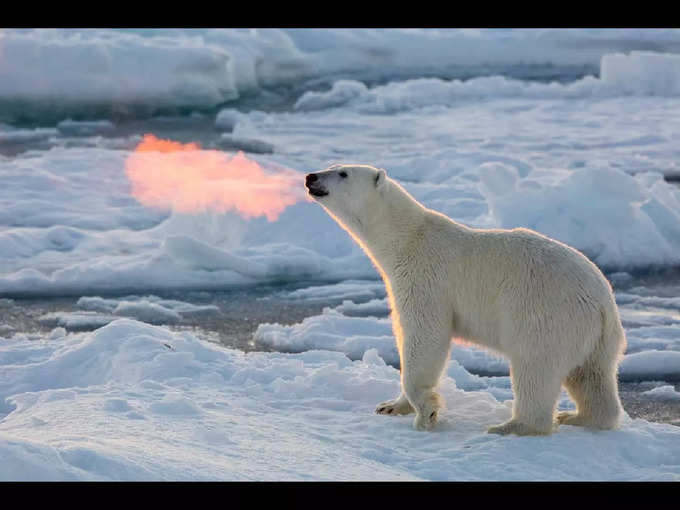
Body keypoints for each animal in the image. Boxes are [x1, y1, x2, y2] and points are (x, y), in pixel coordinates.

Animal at [306, 165, 624, 436]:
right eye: (332, 165)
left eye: (342, 173)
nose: (311, 177)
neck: (406, 239)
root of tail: (602, 303)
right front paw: (390, 406)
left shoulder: (426, 278)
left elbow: (425, 336)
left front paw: (426, 413)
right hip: (595, 337)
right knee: (591, 376)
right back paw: (579, 417)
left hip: (547, 314)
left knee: (535, 367)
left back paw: (512, 426)